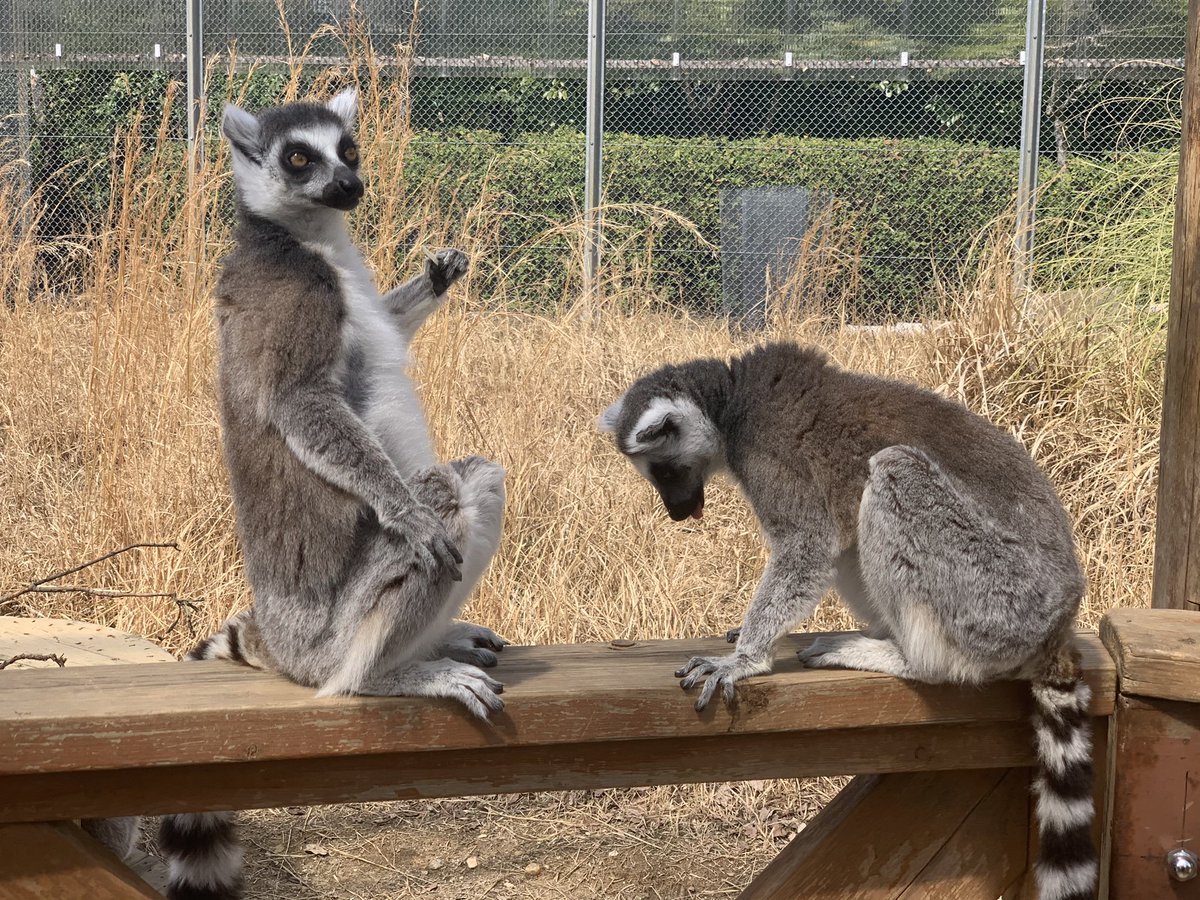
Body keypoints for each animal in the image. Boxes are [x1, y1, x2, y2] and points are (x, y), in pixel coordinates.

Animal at [157, 88, 507, 900]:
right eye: (297, 158)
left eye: (347, 148)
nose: (351, 184)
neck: (313, 241)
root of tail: (282, 643)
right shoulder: (298, 297)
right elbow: (302, 402)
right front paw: (405, 509)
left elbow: (392, 328)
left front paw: (440, 273)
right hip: (336, 633)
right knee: (450, 495)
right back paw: (391, 674)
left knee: (480, 475)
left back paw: (440, 637)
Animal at [599, 341, 1095, 900]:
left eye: (664, 472)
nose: (679, 513)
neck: (731, 403)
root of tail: (1057, 624)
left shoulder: (773, 455)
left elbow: (808, 546)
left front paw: (744, 659)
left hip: (993, 597)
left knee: (896, 472)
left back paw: (900, 655)